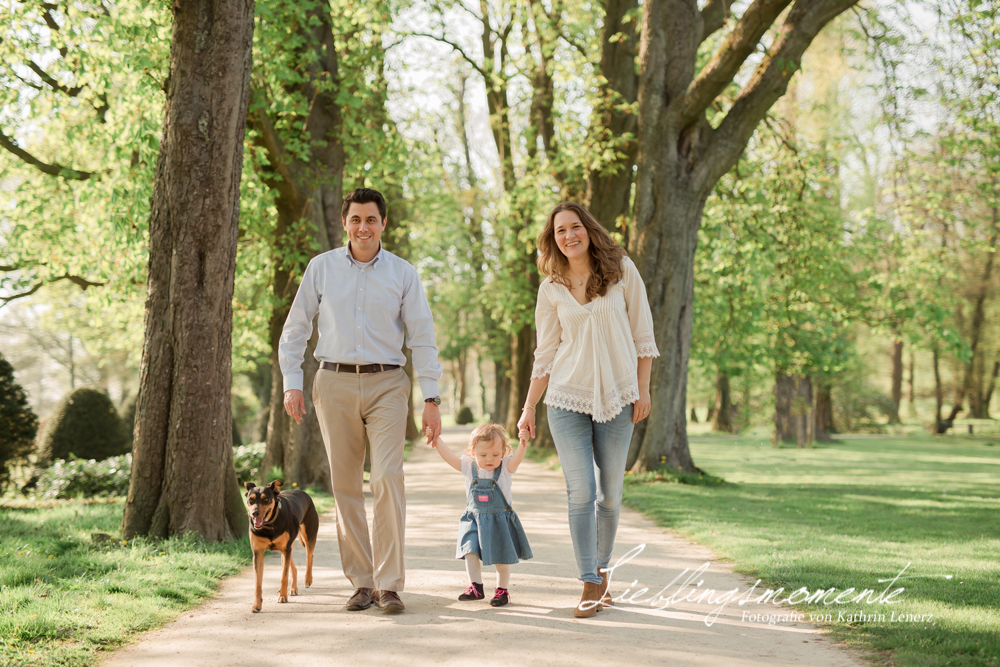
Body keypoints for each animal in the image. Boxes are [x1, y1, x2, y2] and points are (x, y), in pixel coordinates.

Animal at [244, 480, 318, 616]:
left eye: (266, 499)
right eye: (250, 500)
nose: (254, 513)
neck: (269, 524)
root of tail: (303, 492)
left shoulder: (285, 548)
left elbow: (284, 576)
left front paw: (283, 597)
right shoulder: (258, 553)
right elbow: (258, 583)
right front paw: (256, 605)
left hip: (307, 535)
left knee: (309, 555)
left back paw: (307, 579)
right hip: (287, 548)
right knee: (292, 566)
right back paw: (293, 588)